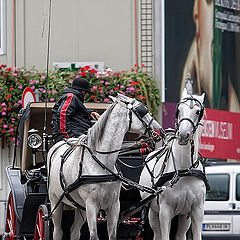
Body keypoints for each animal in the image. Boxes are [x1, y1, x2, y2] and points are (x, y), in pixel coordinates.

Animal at [47, 93, 163, 239]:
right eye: (143, 110)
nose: (160, 130)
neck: (101, 162)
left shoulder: (114, 205)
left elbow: (112, 234)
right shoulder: (91, 205)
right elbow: (94, 236)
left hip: (80, 206)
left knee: (74, 231)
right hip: (55, 202)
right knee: (58, 231)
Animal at [140, 88, 207, 240]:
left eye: (198, 111)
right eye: (178, 110)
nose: (183, 135)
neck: (184, 171)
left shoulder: (197, 211)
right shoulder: (165, 211)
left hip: (183, 216)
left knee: (181, 234)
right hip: (153, 212)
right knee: (157, 234)